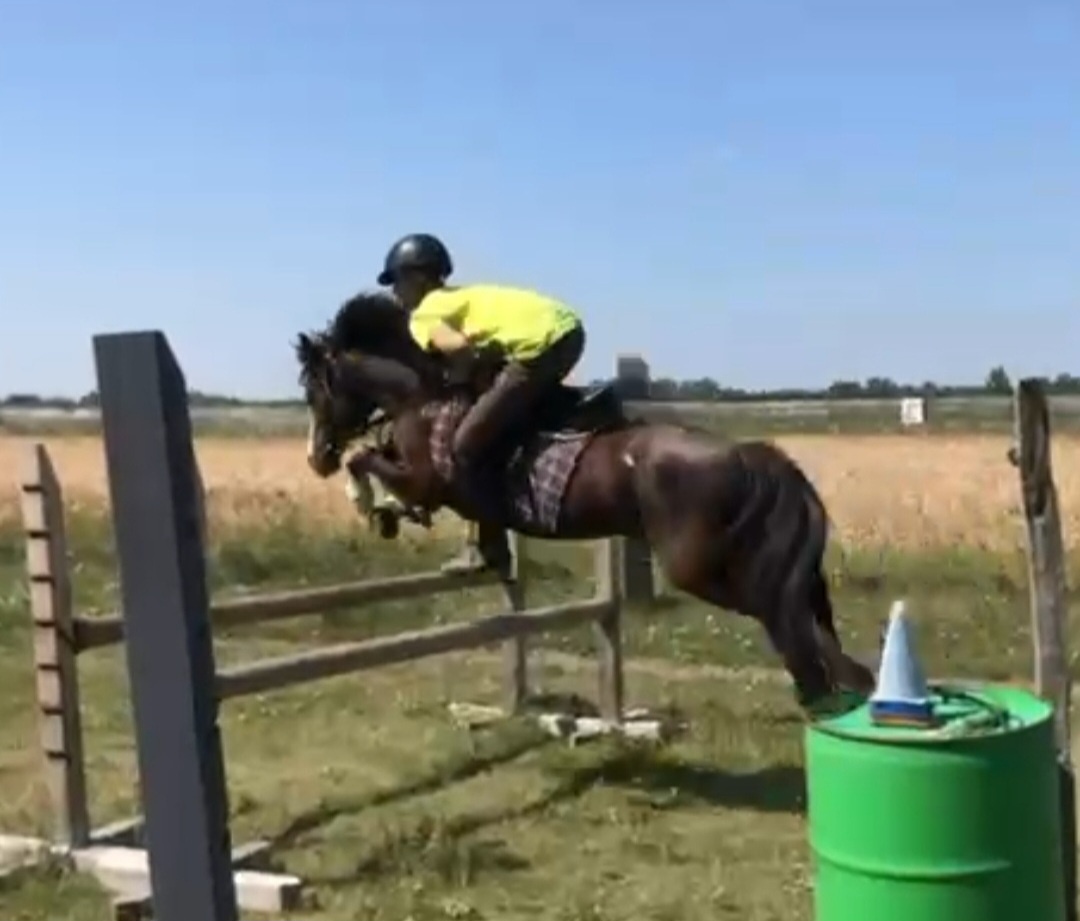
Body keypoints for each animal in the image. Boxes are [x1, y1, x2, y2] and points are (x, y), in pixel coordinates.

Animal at [293, 291, 876, 713]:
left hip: (702, 568)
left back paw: (823, 694)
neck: (422, 396)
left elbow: (366, 459)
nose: (316, 458)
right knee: (806, 617)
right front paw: (420, 530)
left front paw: (369, 504)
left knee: (783, 618)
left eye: (316, 389)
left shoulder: (429, 478)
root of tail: (752, 455)